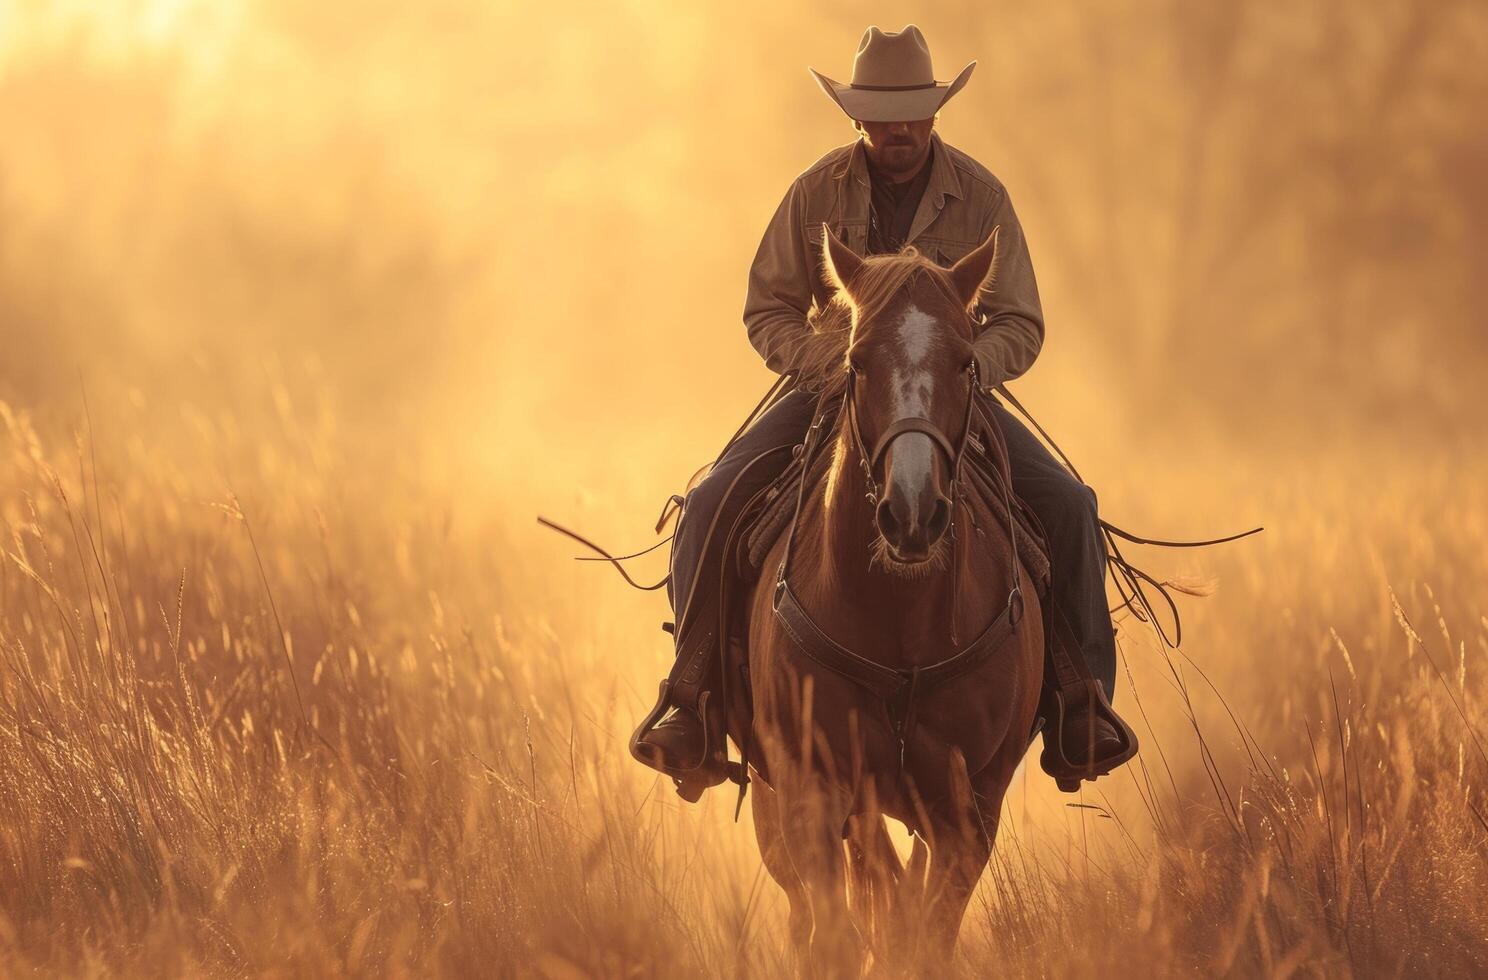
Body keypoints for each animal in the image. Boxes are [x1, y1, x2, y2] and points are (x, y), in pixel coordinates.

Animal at [732, 226, 1047, 975]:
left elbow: (922, 935)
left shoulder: (970, 805)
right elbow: (842, 933)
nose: (912, 514)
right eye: (856, 361)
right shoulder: (816, 786)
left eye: (965, 363)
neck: (901, 619)